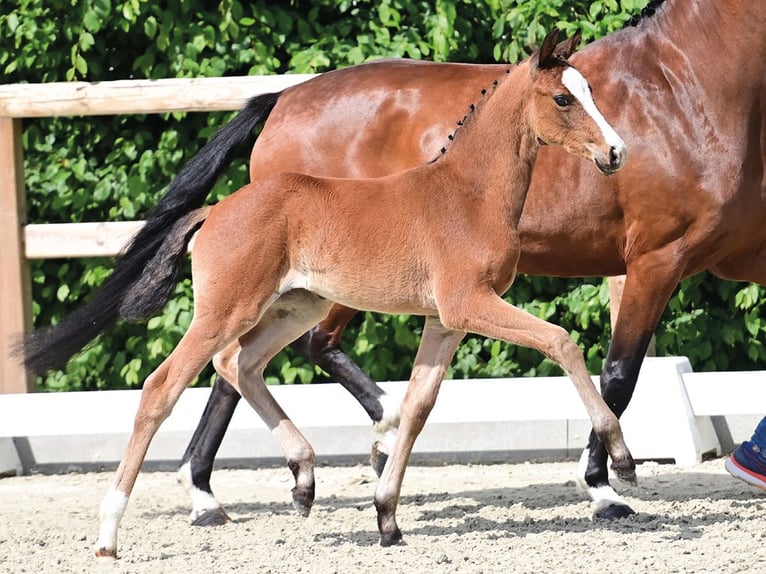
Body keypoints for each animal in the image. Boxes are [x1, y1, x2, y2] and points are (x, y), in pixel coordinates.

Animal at [24, 31, 633, 558]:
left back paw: (304, 479)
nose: (617, 152)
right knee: (163, 386)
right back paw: (110, 534)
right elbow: (562, 341)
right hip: (228, 310)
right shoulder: (469, 303)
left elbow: (418, 407)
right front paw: (621, 458)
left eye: (590, 91)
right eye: (563, 98)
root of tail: (213, 211)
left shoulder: (445, 320)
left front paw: (386, 517)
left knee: (241, 365)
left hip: (295, 307)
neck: (468, 193)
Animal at [170, 0, 766, 525]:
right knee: (256, 357)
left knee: (246, 362)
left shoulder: (736, 255)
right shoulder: (656, 259)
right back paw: (217, 493)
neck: (685, 85)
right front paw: (606, 484)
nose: (617, 153)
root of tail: (283, 97)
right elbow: (618, 374)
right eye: (564, 100)